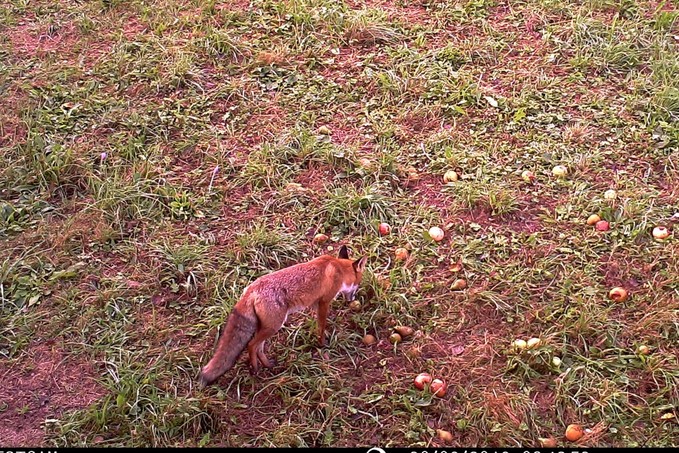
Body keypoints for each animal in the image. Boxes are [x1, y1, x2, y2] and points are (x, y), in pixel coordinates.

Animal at [198, 244, 366, 384]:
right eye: (358, 283)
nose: (353, 299)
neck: (338, 267)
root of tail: (251, 289)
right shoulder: (324, 302)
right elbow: (322, 326)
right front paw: (322, 344)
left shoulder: (315, 303)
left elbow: (317, 324)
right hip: (274, 326)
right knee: (252, 345)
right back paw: (255, 370)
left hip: (266, 327)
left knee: (258, 347)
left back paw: (268, 365)